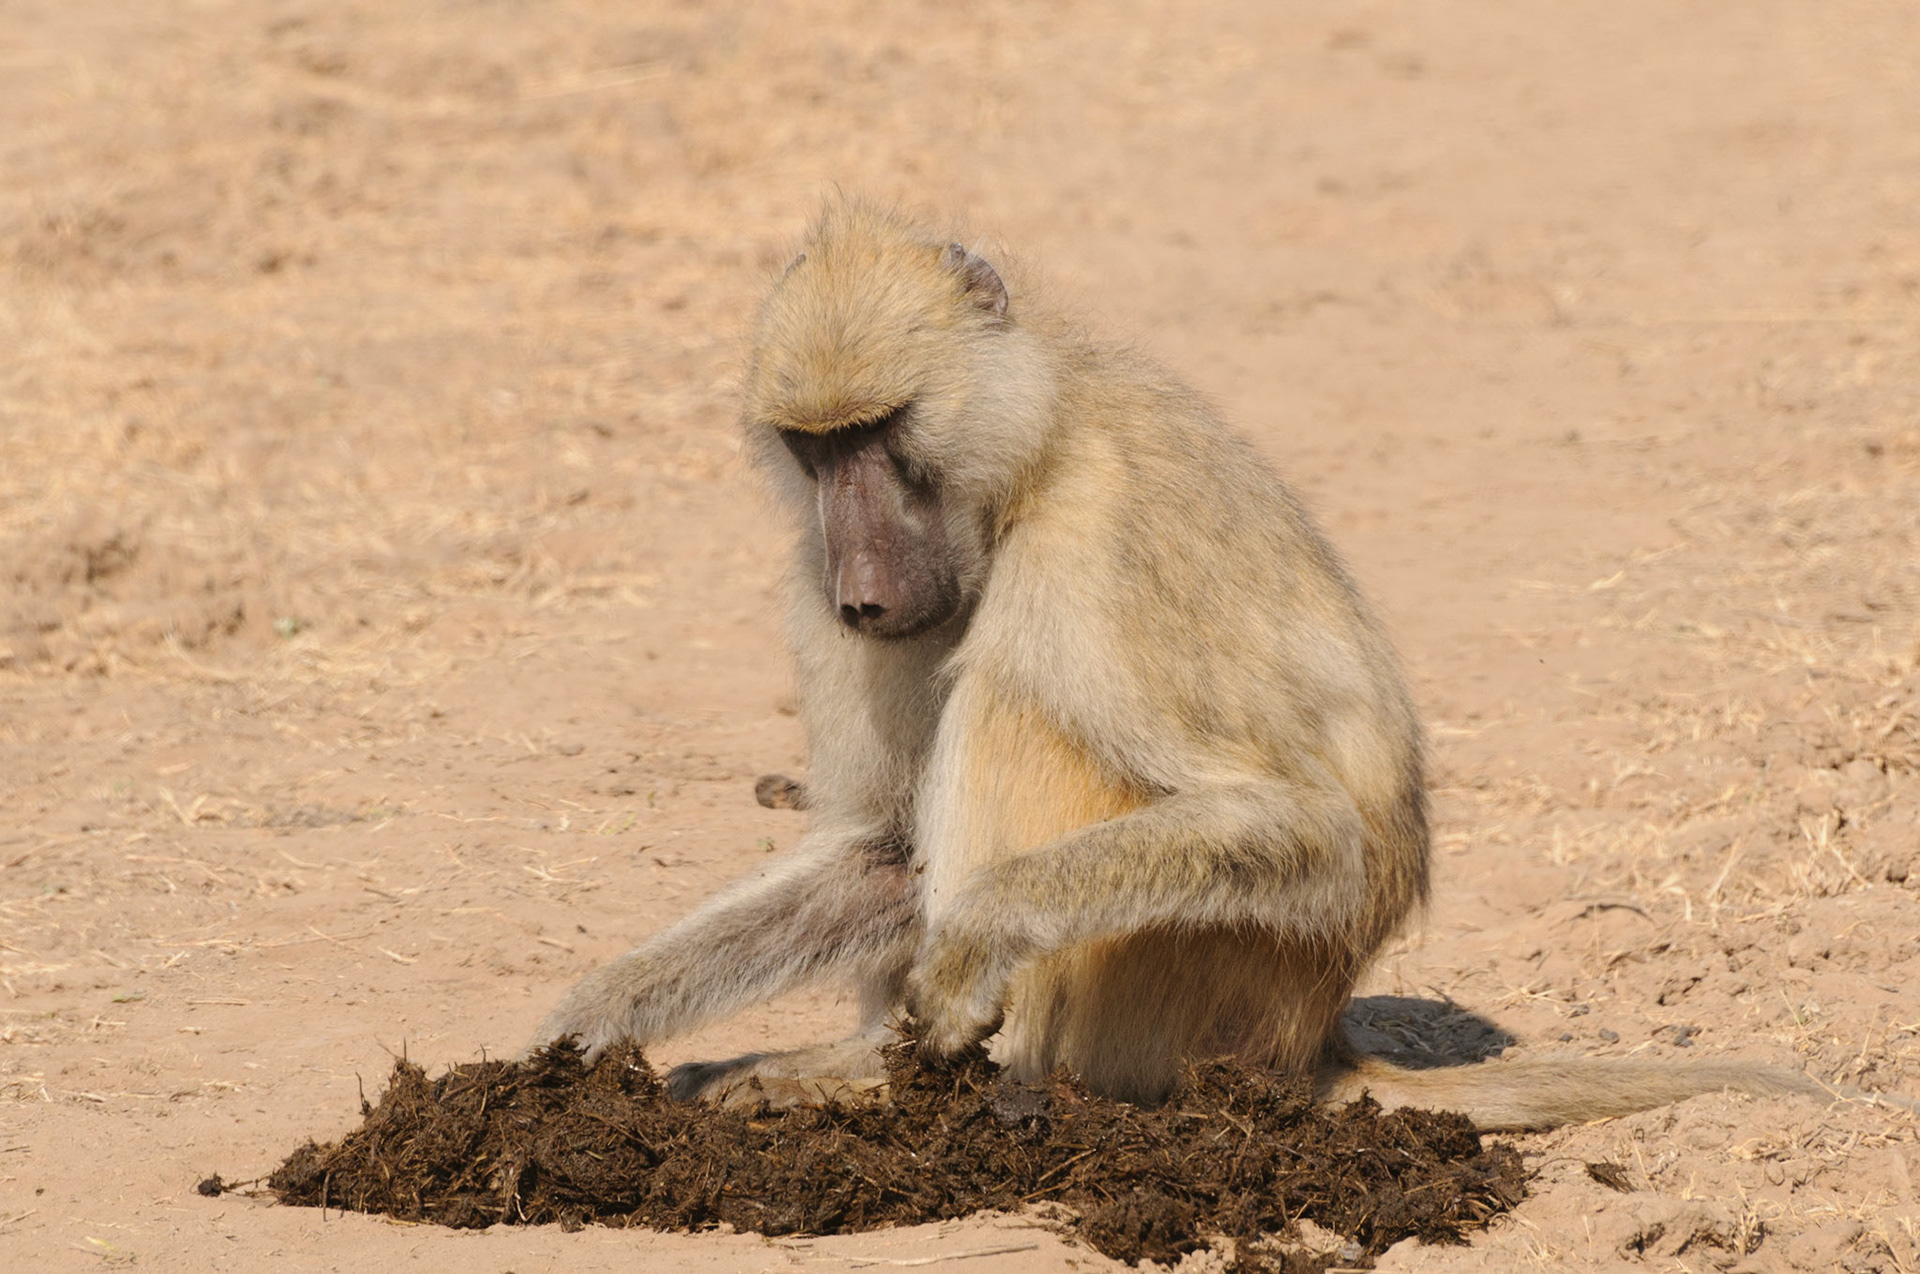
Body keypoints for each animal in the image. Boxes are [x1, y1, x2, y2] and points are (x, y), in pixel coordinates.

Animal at [530, 199, 1888, 1131]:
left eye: (884, 429)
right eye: (814, 449)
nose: (862, 590)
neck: (1024, 467)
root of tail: (1309, 1042)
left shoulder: (1102, 548)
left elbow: (1307, 826)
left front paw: (963, 955)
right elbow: (882, 851)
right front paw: (589, 1025)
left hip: (1169, 993)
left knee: (1015, 705)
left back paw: (925, 1080)